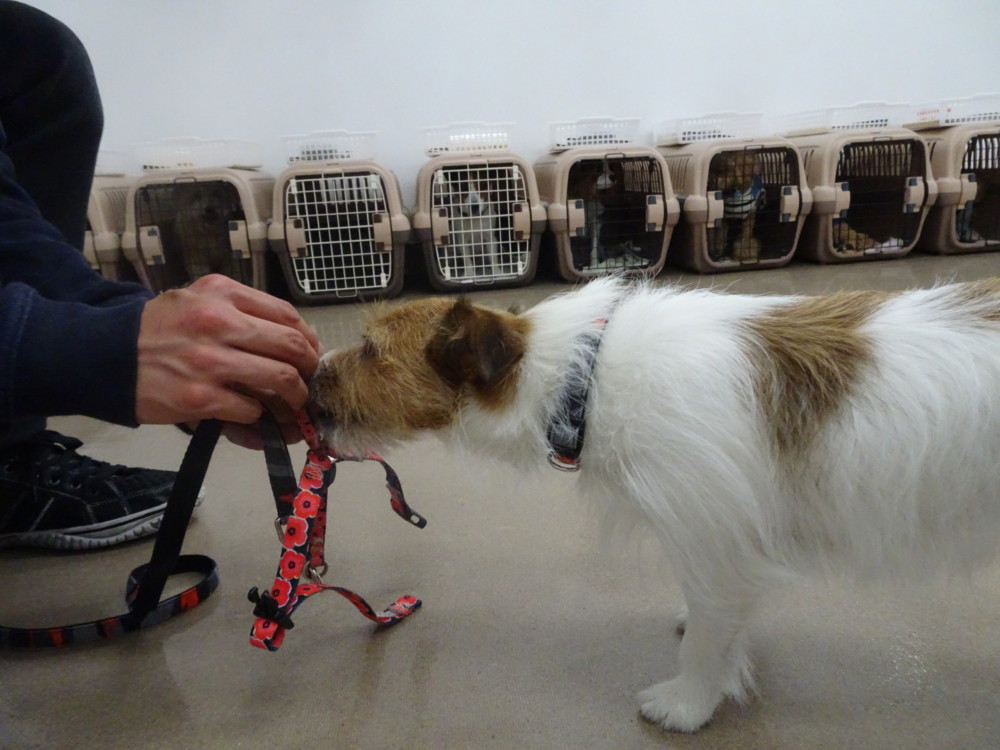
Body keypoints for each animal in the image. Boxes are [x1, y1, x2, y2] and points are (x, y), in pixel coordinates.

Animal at [308, 275, 1000, 732]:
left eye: (369, 349)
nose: (311, 369)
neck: (584, 380)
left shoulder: (712, 539)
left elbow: (708, 638)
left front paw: (687, 706)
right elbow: (717, 619)